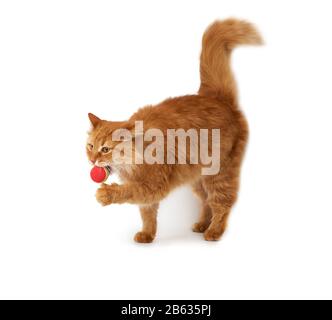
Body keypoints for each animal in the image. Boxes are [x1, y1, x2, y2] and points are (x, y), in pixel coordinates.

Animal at [86, 18, 262, 242]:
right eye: (90, 146)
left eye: (105, 149)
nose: (92, 160)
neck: (134, 159)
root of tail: (218, 99)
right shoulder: (149, 194)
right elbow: (147, 214)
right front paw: (147, 235)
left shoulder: (153, 185)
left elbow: (130, 192)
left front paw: (107, 194)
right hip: (197, 179)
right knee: (206, 202)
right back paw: (202, 225)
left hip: (220, 176)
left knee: (221, 205)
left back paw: (213, 232)